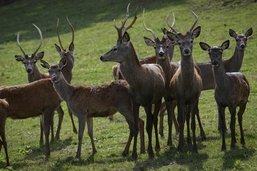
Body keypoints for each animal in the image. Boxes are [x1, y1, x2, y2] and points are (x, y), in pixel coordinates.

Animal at [99, 3, 165, 159]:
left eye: (115, 48)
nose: (101, 57)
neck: (138, 84)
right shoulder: (134, 102)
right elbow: (135, 125)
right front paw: (134, 153)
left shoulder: (147, 101)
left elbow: (147, 125)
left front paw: (150, 151)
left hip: (158, 98)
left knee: (154, 120)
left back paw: (157, 147)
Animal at [165, 11, 203, 152]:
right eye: (179, 43)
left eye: (191, 40)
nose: (187, 51)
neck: (187, 85)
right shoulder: (180, 98)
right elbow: (180, 121)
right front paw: (180, 146)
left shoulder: (194, 98)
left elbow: (192, 123)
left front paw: (194, 147)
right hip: (176, 100)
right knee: (179, 118)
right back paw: (180, 141)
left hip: (193, 101)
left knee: (190, 116)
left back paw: (191, 140)